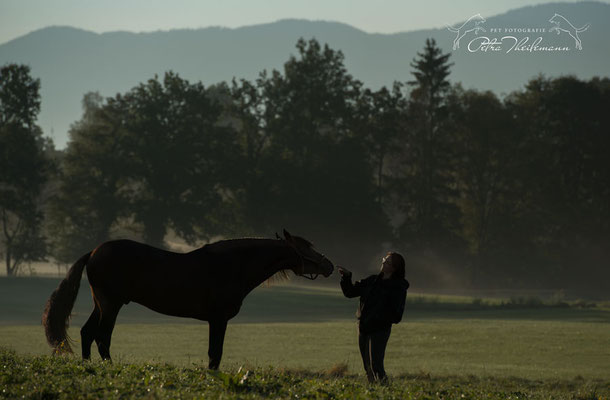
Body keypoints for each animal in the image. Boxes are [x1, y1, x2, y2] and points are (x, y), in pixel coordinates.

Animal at [41, 230, 332, 370]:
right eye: (306, 247)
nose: (329, 265)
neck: (232, 266)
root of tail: (93, 252)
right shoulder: (218, 319)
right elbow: (215, 353)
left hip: (102, 304)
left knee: (87, 332)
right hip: (111, 305)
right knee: (102, 337)